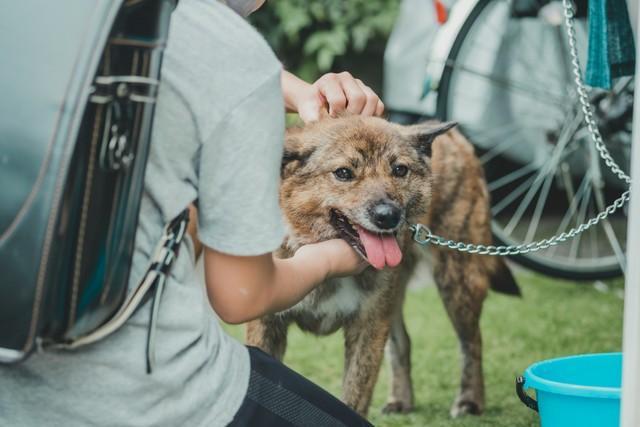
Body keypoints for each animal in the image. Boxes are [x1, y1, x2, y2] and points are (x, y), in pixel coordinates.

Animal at [245, 113, 520, 418]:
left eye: (400, 170)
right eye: (343, 173)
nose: (388, 216)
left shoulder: (369, 326)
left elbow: (353, 397)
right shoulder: (266, 326)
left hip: (458, 279)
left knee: (471, 340)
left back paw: (470, 401)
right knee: (404, 341)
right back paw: (401, 399)